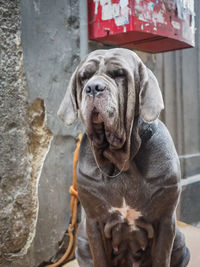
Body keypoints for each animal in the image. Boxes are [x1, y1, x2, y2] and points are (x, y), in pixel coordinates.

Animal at [57, 48, 189, 267]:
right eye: (84, 77)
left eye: (118, 74)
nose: (93, 88)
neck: (121, 161)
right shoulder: (93, 223)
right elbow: (100, 257)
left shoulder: (165, 221)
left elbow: (162, 257)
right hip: (82, 239)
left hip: (179, 238)